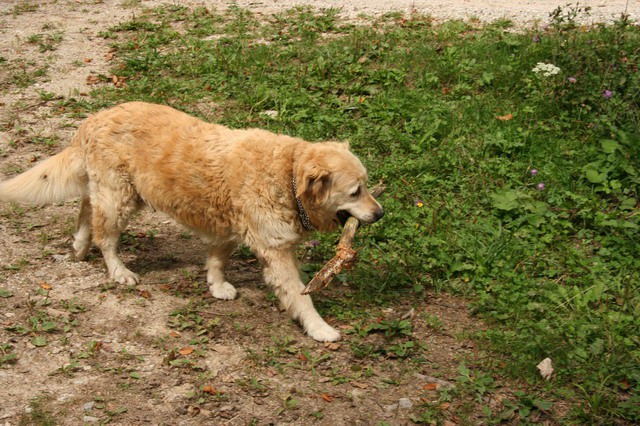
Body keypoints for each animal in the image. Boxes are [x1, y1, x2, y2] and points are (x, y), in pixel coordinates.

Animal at [0, 101, 382, 342]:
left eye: (367, 185)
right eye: (355, 192)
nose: (380, 213)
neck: (287, 175)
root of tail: (94, 118)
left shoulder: (229, 224)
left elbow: (217, 259)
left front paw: (216, 285)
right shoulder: (276, 252)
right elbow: (301, 298)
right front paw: (320, 329)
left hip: (115, 192)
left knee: (86, 208)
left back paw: (79, 245)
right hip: (120, 198)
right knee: (104, 236)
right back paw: (118, 271)